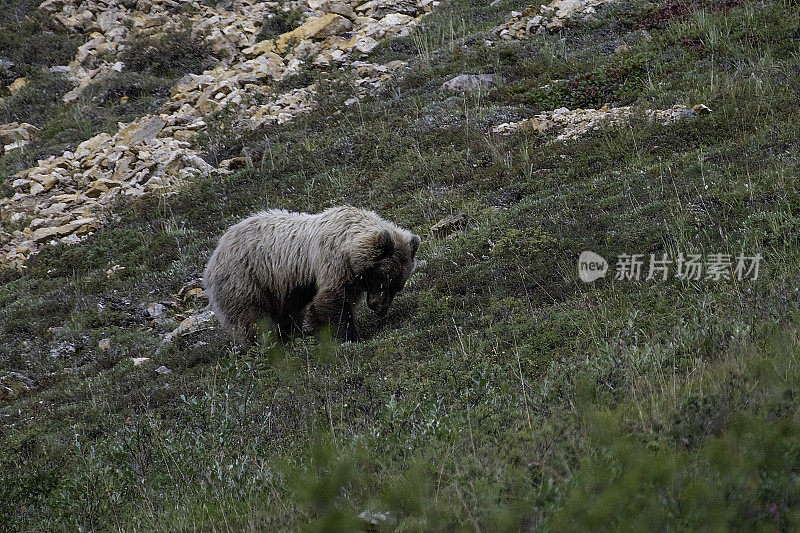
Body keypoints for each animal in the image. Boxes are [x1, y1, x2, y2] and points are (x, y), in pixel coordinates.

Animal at [203, 204, 422, 344]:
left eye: (397, 287)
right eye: (382, 281)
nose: (380, 309)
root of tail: (215, 254)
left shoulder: (350, 275)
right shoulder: (334, 263)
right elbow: (332, 300)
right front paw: (350, 336)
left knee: (287, 312)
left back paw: (290, 335)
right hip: (245, 279)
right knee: (252, 318)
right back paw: (265, 344)